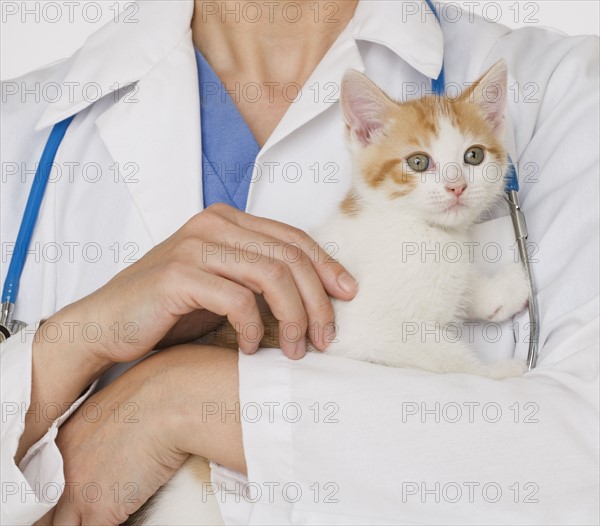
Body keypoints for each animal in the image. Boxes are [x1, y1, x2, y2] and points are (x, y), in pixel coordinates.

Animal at [124, 59, 528, 524]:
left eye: (473, 156)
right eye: (418, 162)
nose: (457, 187)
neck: (422, 233)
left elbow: (461, 288)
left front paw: (500, 291)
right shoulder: (361, 331)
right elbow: (444, 359)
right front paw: (494, 374)